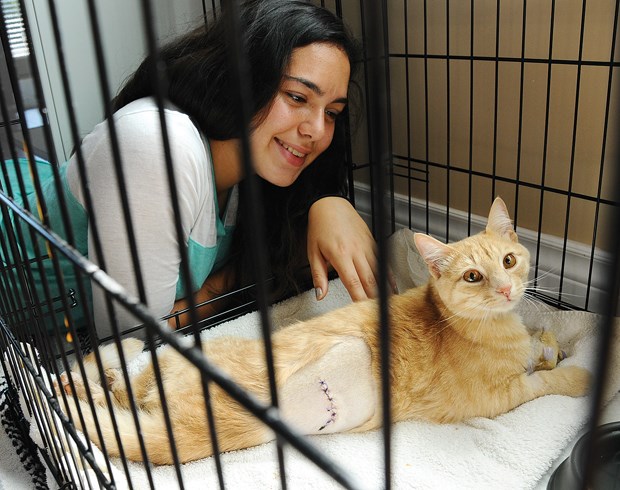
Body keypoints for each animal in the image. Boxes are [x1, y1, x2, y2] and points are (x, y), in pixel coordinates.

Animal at [55, 196, 588, 464]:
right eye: (474, 277)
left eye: (509, 261)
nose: (506, 288)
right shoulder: (495, 398)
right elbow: (544, 382)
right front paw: (580, 373)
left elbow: (542, 348)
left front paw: (549, 346)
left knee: (117, 389)